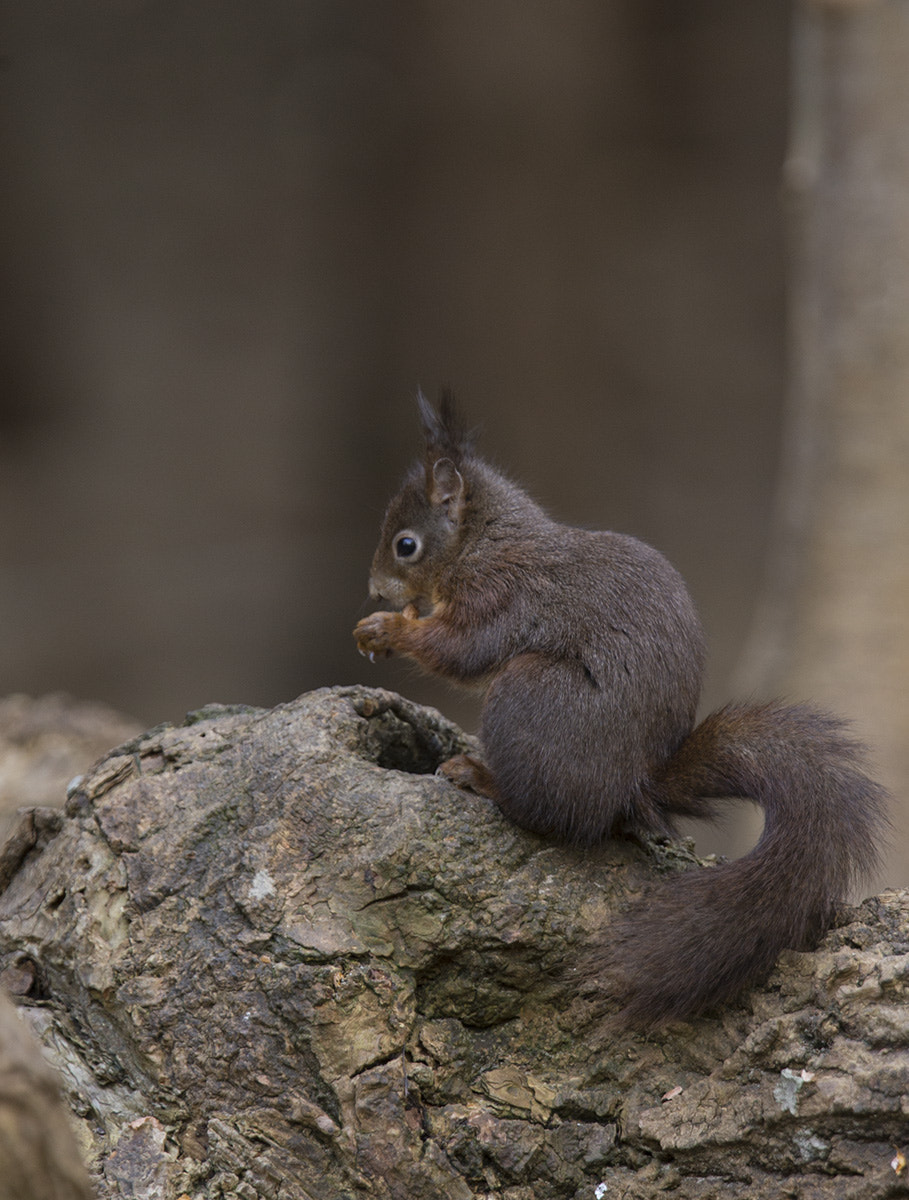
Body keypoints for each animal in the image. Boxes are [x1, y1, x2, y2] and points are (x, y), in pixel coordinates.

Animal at [353, 392, 889, 1028]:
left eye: (406, 545)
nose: (375, 589)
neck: (485, 542)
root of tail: (634, 784)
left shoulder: (501, 595)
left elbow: (462, 650)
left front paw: (388, 629)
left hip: (529, 695)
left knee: (549, 816)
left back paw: (480, 777)